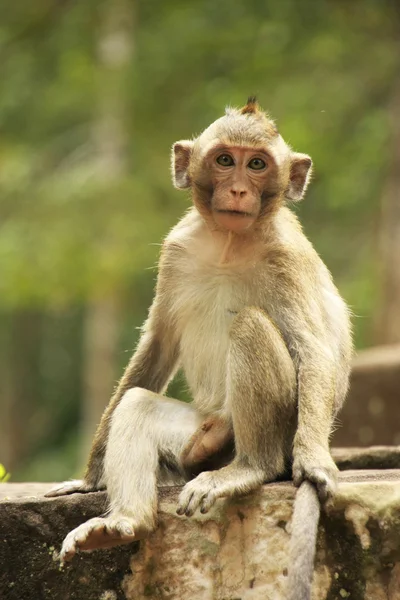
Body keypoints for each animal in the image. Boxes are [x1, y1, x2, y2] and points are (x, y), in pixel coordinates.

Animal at [47, 96, 352, 596]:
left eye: (257, 164)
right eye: (225, 160)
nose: (239, 190)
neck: (229, 242)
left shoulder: (286, 258)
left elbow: (313, 351)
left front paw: (315, 462)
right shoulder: (176, 249)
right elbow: (157, 345)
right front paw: (87, 481)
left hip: (274, 431)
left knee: (250, 326)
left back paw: (248, 468)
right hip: (196, 432)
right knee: (137, 405)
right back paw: (125, 523)